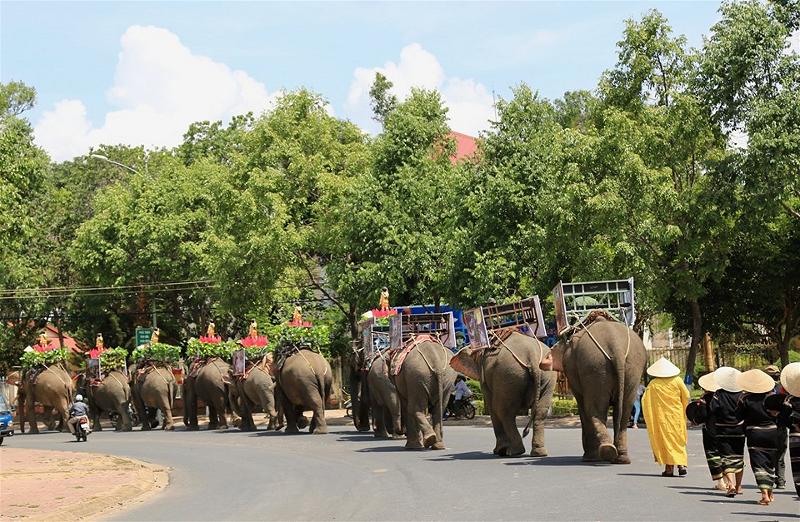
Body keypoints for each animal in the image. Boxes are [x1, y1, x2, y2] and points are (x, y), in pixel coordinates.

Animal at [536, 314, 648, 462]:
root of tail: (616, 346)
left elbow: (582, 405)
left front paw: (590, 457)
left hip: (594, 366)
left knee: (594, 409)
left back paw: (604, 453)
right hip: (630, 367)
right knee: (624, 410)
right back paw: (620, 457)